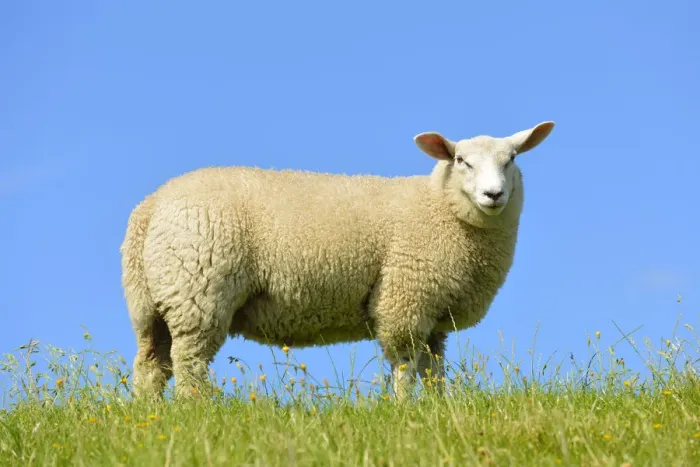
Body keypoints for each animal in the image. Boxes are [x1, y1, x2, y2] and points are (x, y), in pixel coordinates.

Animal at [120, 121, 555, 401]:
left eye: (512, 159)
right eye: (462, 160)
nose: (494, 194)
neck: (440, 208)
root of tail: (151, 206)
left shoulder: (435, 315)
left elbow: (433, 371)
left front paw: (438, 409)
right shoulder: (405, 299)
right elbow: (405, 365)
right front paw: (404, 411)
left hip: (151, 301)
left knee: (151, 364)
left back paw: (150, 415)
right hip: (199, 292)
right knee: (188, 362)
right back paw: (195, 409)